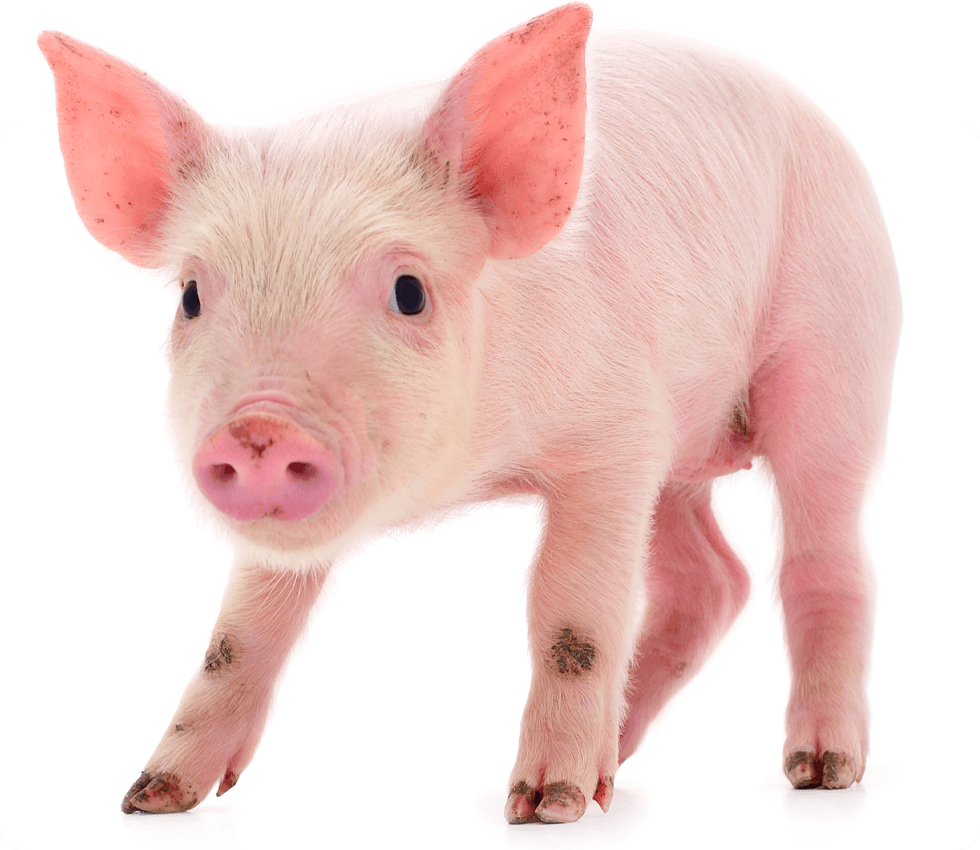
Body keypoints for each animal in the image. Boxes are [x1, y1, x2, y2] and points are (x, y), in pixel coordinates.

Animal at [34, 0, 900, 825]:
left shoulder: (615, 438)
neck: (473, 472)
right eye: (190, 295)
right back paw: (618, 757)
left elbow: (571, 614)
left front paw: (545, 805)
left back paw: (819, 769)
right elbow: (240, 632)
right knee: (713, 581)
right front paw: (148, 797)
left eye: (408, 291)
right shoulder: (636, 448)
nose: (260, 429)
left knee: (822, 557)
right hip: (680, 454)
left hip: (836, 355)